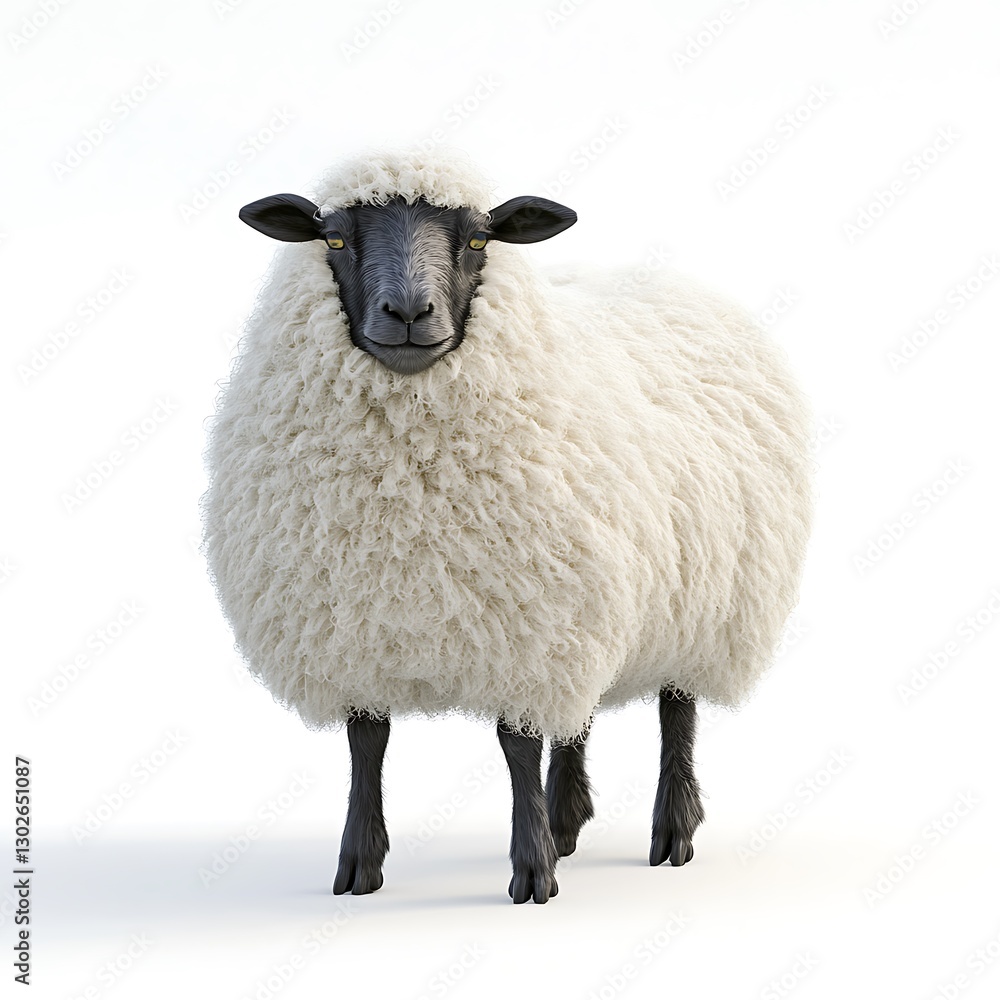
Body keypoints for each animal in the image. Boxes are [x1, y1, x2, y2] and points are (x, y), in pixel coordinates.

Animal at [202, 147, 813, 904]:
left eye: (477, 240)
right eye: (334, 240)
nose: (409, 312)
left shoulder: (525, 629)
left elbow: (517, 745)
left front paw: (533, 870)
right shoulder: (361, 629)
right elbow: (367, 743)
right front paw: (359, 864)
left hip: (703, 605)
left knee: (677, 711)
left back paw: (672, 830)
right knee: (577, 716)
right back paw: (569, 819)